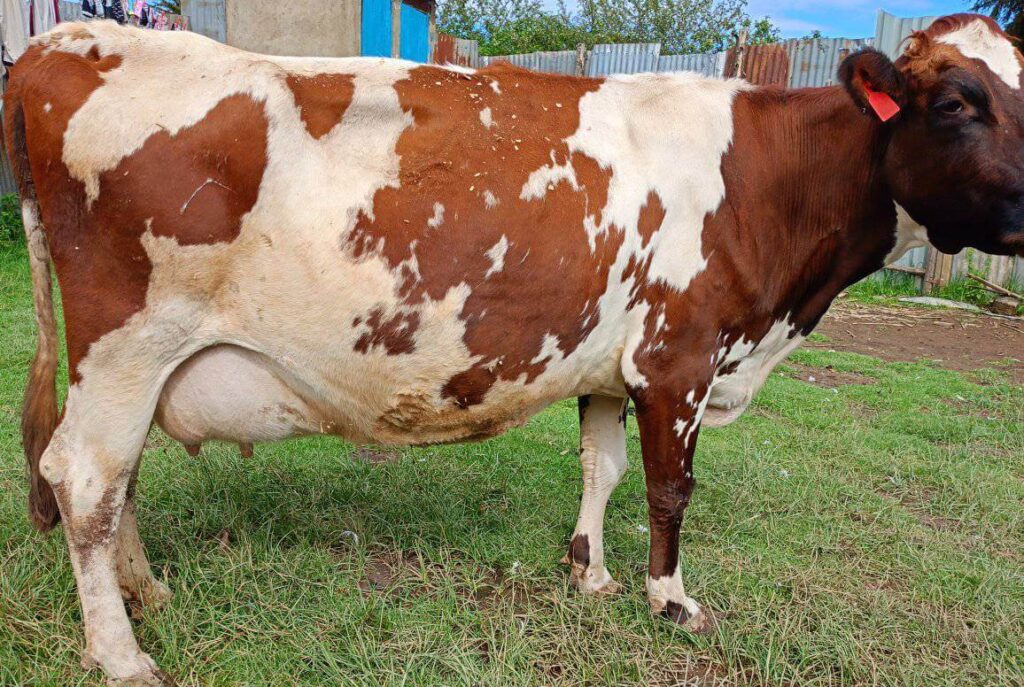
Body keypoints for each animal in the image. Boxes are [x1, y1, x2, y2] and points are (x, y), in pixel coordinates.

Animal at [4, 13, 1024, 685]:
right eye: (958, 101)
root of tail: (65, 41)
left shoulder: (614, 364)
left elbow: (603, 466)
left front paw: (591, 572)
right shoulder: (680, 357)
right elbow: (671, 487)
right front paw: (670, 598)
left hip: (137, 361)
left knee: (116, 478)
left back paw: (147, 592)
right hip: (129, 341)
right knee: (85, 477)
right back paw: (121, 652)